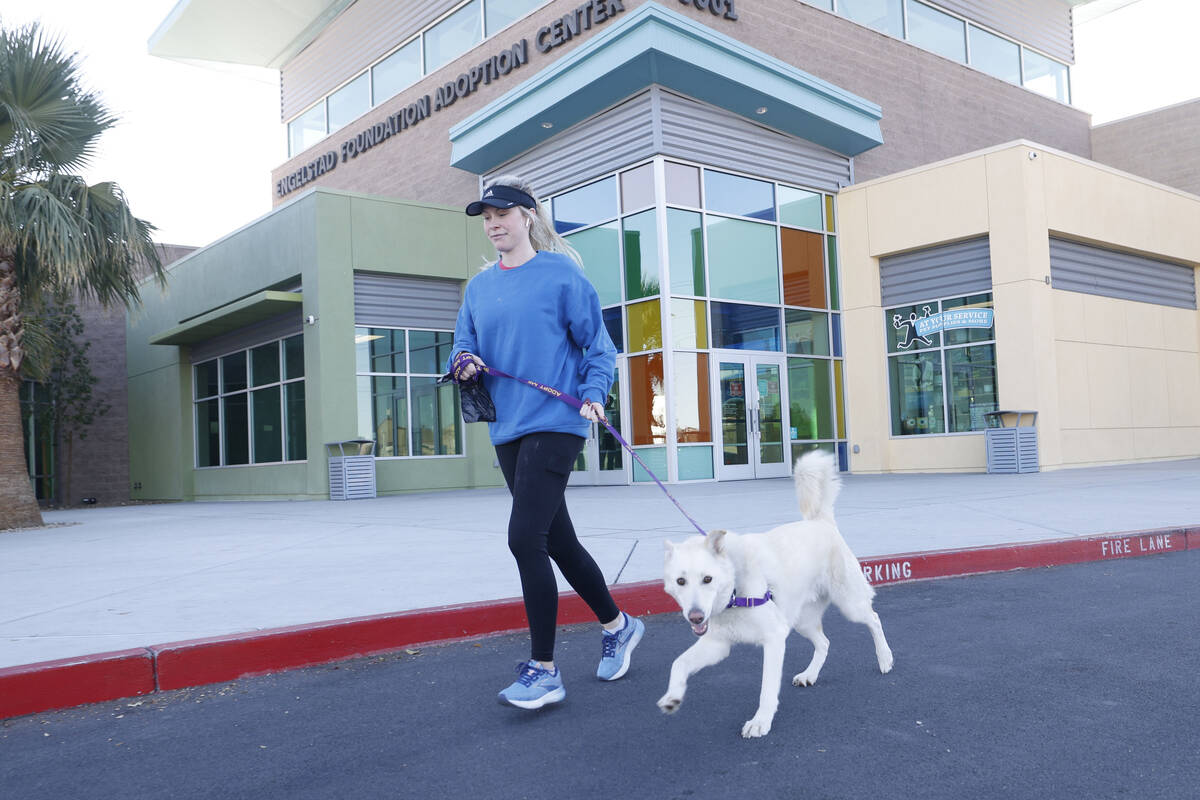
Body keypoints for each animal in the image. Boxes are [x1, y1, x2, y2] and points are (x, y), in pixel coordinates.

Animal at [657, 450, 892, 738]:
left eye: (707, 579)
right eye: (680, 581)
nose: (696, 617)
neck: (736, 588)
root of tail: (821, 521)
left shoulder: (774, 639)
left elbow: (767, 690)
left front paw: (760, 722)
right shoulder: (717, 644)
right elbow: (679, 663)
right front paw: (672, 697)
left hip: (850, 604)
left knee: (874, 619)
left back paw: (885, 658)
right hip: (802, 621)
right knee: (824, 643)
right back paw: (810, 675)